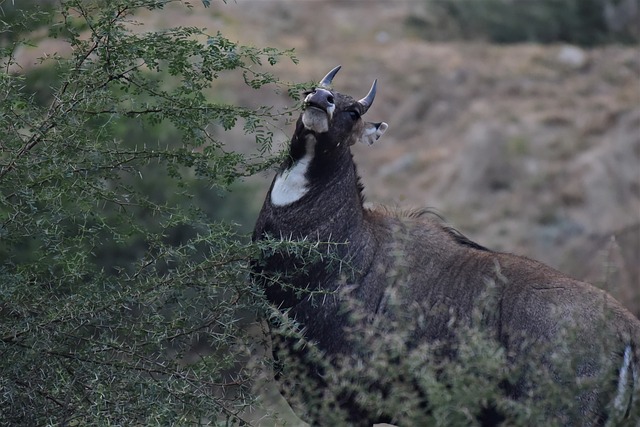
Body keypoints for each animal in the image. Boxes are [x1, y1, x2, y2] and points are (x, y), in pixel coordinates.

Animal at [251, 65, 640, 426]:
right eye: (310, 89)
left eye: (355, 112)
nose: (320, 99)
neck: (357, 248)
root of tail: (628, 333)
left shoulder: (345, 404)